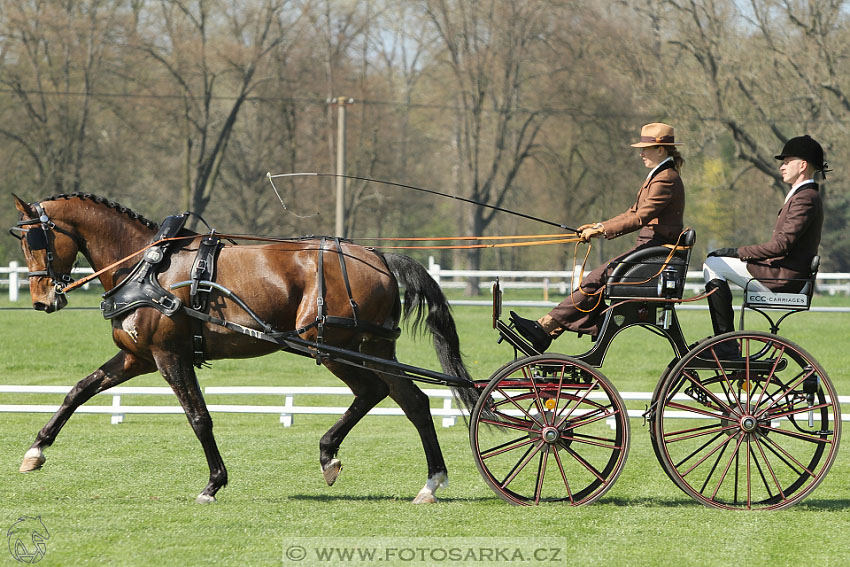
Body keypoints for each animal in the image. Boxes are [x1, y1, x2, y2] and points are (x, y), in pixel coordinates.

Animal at [11, 193, 476, 504]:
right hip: (370, 346)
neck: (147, 268)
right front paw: (36, 451)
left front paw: (213, 484)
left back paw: (355, 461)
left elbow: (199, 418)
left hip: (327, 344)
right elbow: (79, 390)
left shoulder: (169, 357)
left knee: (381, 392)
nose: (41, 300)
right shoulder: (136, 358)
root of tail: (378, 256)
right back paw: (418, 478)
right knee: (407, 400)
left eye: (35, 241)